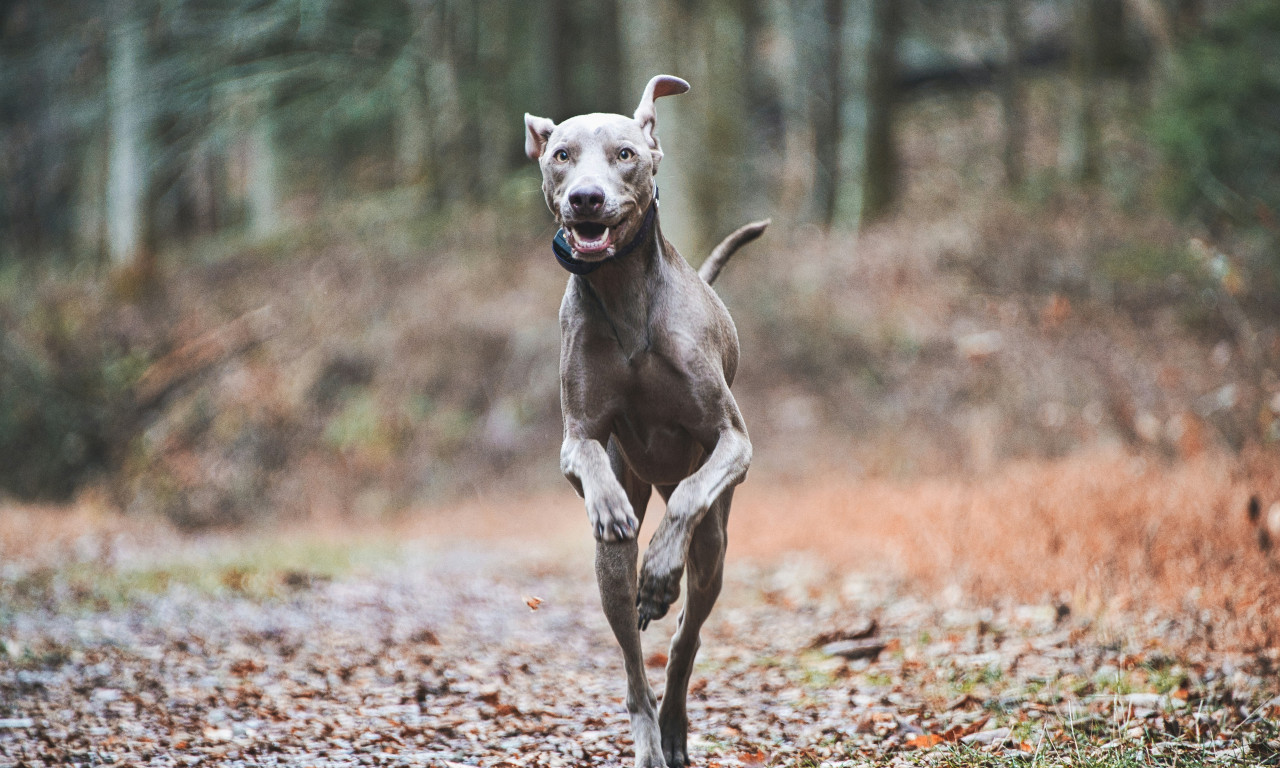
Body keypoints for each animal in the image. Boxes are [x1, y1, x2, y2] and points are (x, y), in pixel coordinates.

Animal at [522, 73, 762, 768]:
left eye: (625, 153)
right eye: (561, 155)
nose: (586, 197)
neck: (625, 292)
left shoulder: (734, 443)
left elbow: (687, 498)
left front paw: (659, 572)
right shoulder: (577, 438)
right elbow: (586, 454)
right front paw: (608, 508)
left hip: (715, 547)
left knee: (685, 636)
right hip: (613, 561)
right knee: (633, 658)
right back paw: (651, 737)